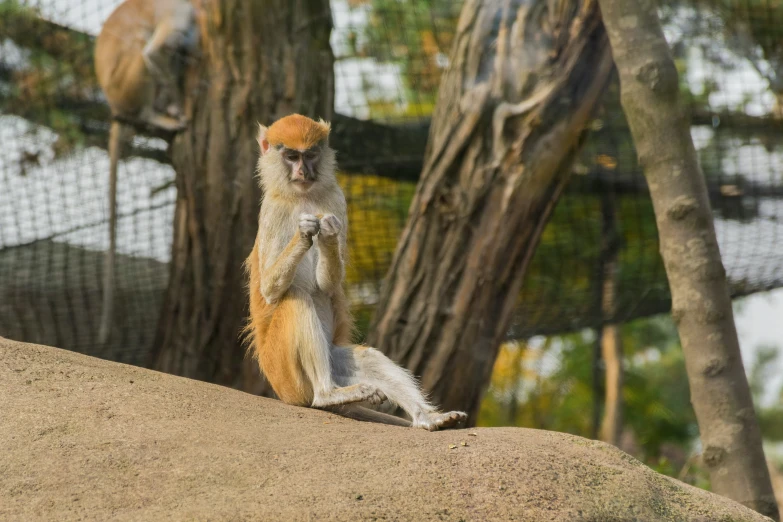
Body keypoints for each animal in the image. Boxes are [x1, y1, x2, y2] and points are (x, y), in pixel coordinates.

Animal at [94, 0, 199, 344]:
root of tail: (115, 107)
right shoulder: (178, 11)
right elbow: (155, 52)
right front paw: (177, 106)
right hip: (127, 83)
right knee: (142, 49)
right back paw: (155, 114)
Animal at [245, 116, 466, 428]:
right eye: (291, 156)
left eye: (311, 154)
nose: (303, 171)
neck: (302, 196)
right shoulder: (273, 210)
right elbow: (269, 291)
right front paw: (305, 232)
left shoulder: (335, 198)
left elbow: (327, 284)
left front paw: (327, 233)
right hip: (286, 375)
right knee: (295, 300)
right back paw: (327, 395)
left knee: (367, 357)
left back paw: (428, 417)